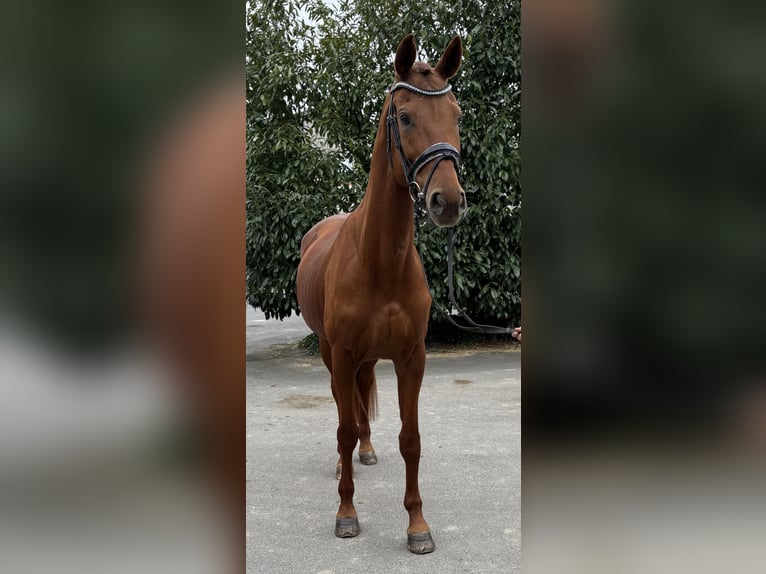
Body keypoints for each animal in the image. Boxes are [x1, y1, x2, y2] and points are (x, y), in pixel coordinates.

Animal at [298, 33, 468, 556]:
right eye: (406, 116)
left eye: (456, 113)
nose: (447, 202)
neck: (379, 261)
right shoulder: (343, 352)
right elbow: (342, 428)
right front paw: (346, 514)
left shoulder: (411, 356)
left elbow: (410, 438)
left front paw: (418, 526)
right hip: (332, 352)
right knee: (344, 412)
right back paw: (345, 463)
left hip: (369, 357)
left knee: (361, 402)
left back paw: (367, 451)